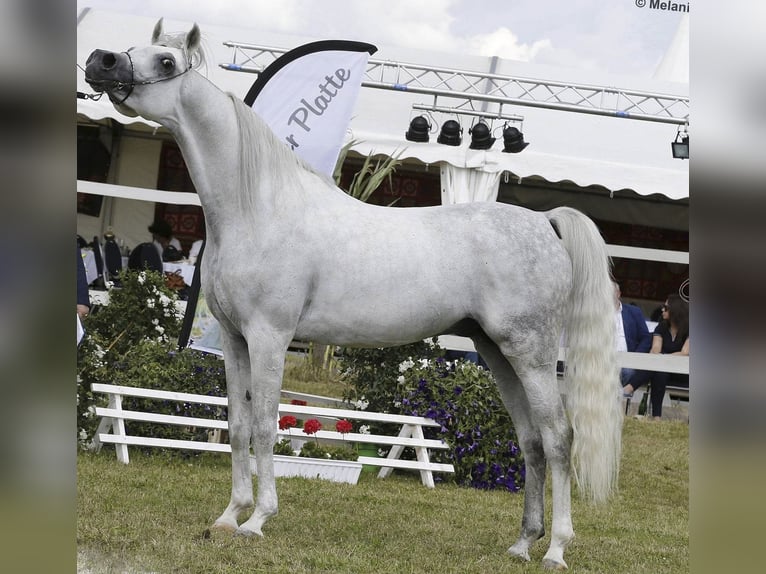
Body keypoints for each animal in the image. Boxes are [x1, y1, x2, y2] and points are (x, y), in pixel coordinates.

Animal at [85, 19, 622, 570]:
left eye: (166, 61)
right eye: (133, 47)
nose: (101, 61)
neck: (258, 208)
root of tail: (545, 222)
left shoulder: (270, 337)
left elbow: (266, 427)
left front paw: (258, 520)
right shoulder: (235, 340)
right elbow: (237, 427)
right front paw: (228, 517)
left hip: (531, 353)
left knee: (558, 439)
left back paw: (556, 549)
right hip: (496, 351)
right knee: (531, 441)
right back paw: (522, 542)